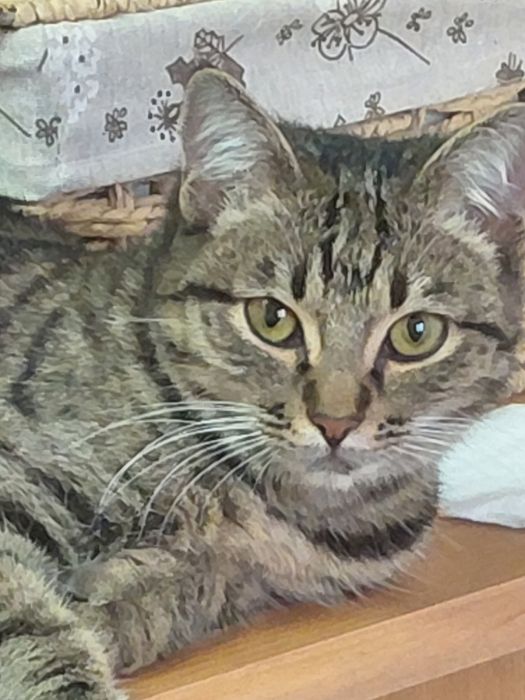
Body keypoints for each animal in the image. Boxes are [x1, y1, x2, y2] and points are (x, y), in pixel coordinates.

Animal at [0, 68, 523, 699]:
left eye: (416, 333)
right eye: (272, 319)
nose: (335, 423)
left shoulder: (245, 579)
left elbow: (179, 590)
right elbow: (37, 627)